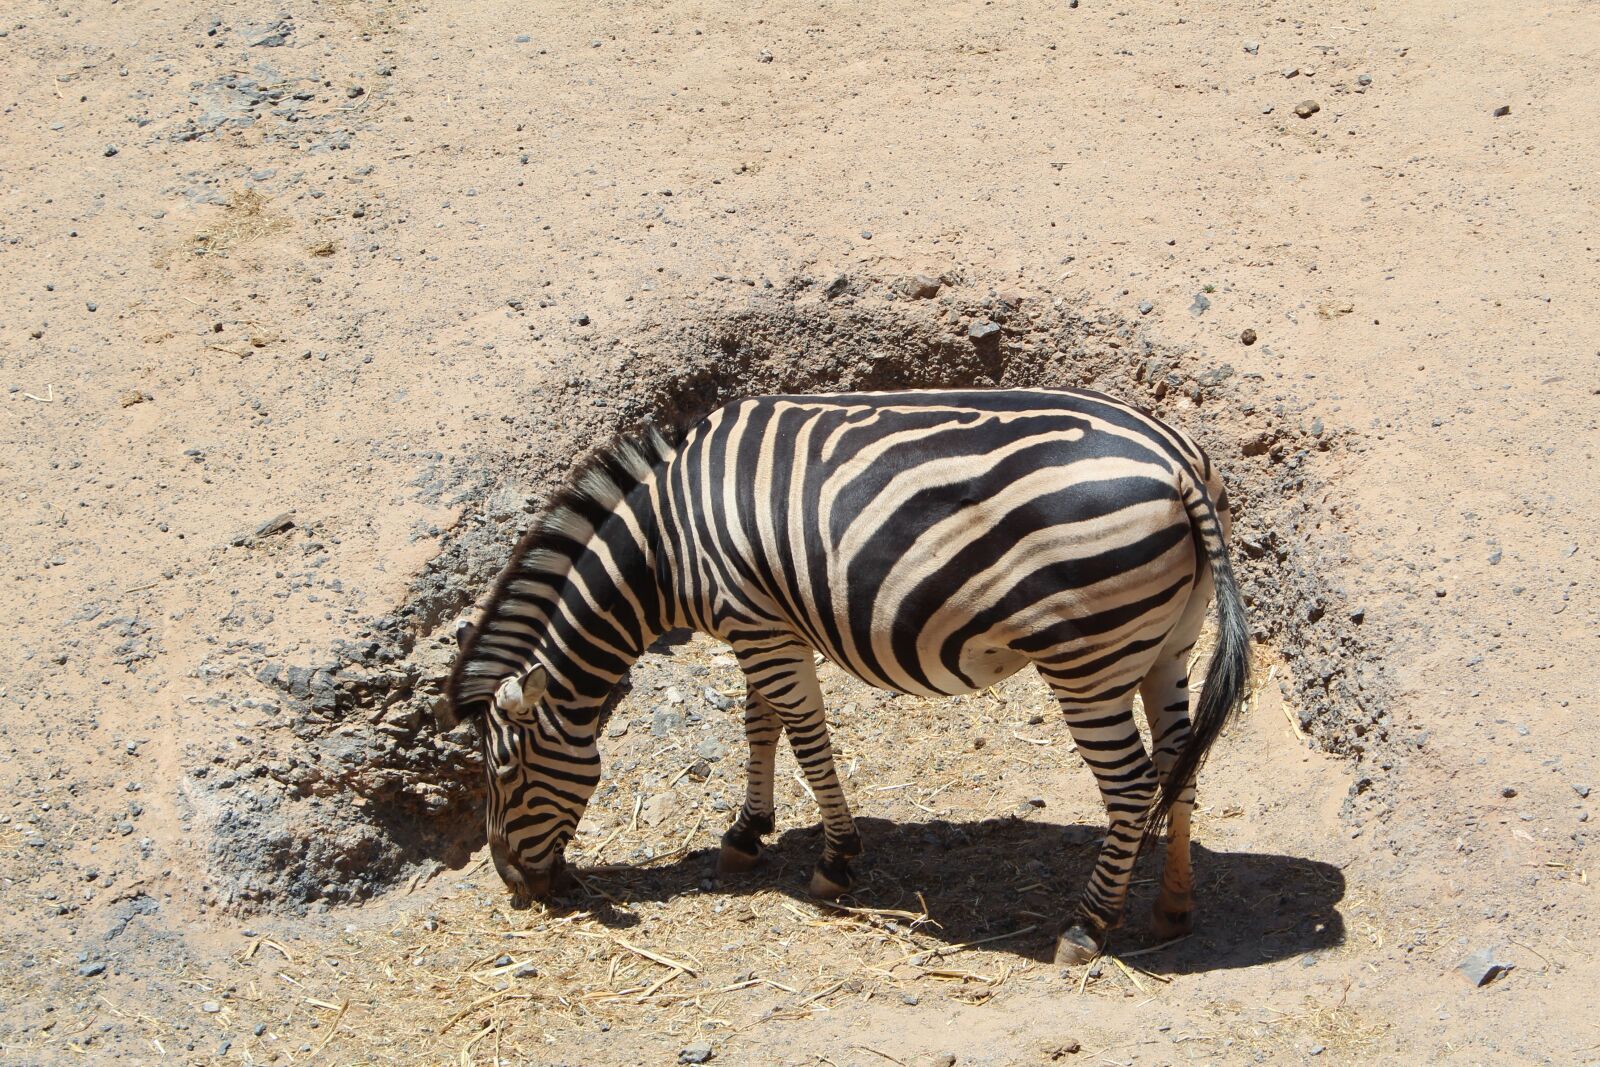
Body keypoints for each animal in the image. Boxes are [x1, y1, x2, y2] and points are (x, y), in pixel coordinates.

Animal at [443, 388, 1249, 963]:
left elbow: (804, 735)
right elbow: (759, 722)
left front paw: (835, 861)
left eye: (505, 775)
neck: (664, 547)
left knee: (1134, 785)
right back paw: (1172, 909)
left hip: (1087, 658)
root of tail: (1177, 461)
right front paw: (747, 833)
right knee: (1180, 764)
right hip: (1168, 642)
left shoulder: (759, 623)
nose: (515, 885)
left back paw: (1088, 927)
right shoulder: (763, 621)